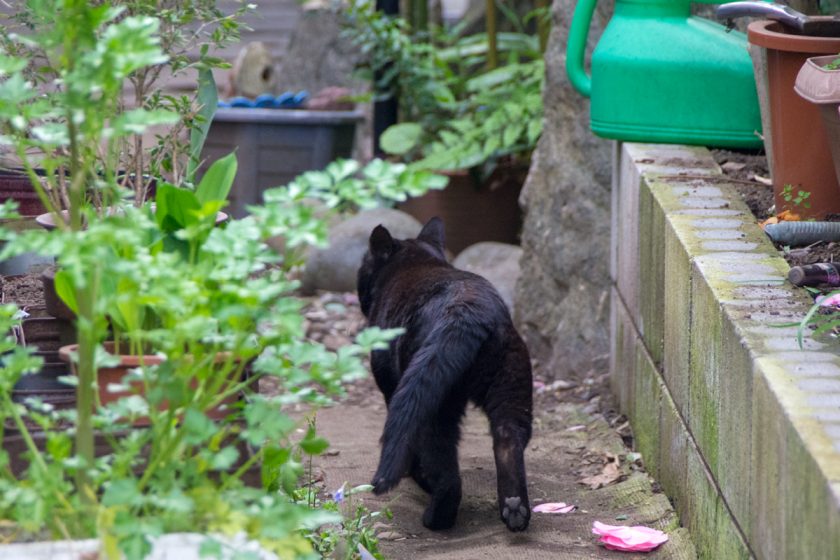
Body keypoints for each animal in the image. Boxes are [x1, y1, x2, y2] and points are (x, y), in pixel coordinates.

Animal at [354, 217, 532, 532]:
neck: (414, 261)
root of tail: (469, 311)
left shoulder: (390, 386)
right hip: (511, 390)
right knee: (507, 439)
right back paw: (514, 510)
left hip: (434, 404)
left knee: (444, 466)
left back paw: (435, 517)